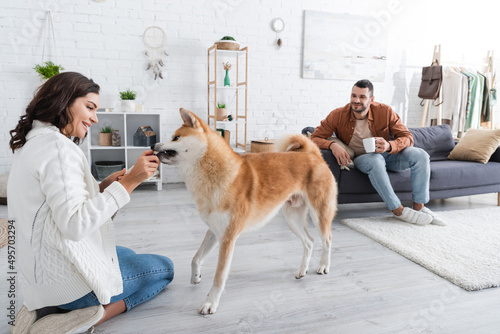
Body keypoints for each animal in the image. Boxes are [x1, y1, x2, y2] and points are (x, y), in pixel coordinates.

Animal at [154, 108, 338, 314]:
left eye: (176, 137)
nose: (153, 145)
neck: (214, 173)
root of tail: (314, 154)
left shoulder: (227, 238)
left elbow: (219, 277)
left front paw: (210, 303)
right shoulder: (215, 231)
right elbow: (196, 258)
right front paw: (196, 277)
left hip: (319, 213)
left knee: (327, 240)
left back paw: (323, 266)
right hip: (293, 217)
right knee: (309, 242)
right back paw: (302, 270)